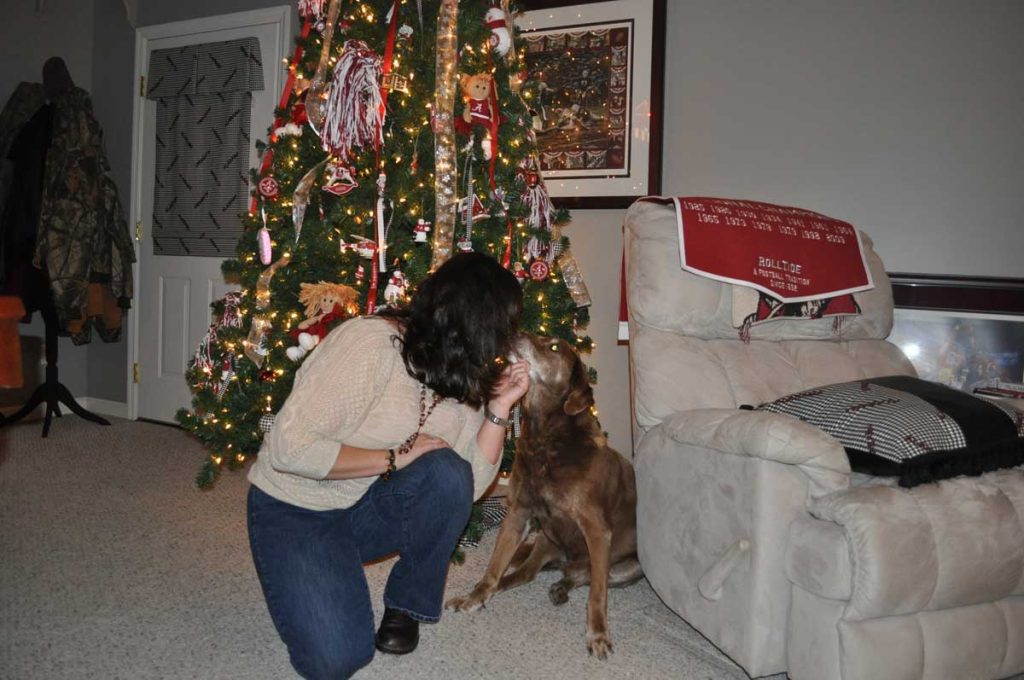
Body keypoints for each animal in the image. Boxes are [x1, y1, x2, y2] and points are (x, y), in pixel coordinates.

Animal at [446, 333, 638, 659]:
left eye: (554, 346)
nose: (514, 334)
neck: (546, 438)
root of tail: (564, 560)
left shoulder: (597, 531)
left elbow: (597, 594)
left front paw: (598, 634)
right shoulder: (518, 514)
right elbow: (493, 568)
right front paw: (475, 596)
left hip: (628, 567)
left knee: (587, 577)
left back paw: (561, 587)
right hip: (546, 541)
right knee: (525, 573)